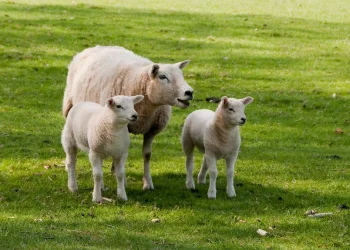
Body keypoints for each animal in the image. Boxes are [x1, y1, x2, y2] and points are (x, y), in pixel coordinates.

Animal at [63, 45, 194, 189]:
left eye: (181, 75)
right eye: (162, 76)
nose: (189, 92)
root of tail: (96, 46)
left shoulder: (151, 130)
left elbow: (147, 155)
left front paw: (147, 183)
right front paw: (122, 182)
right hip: (69, 106)